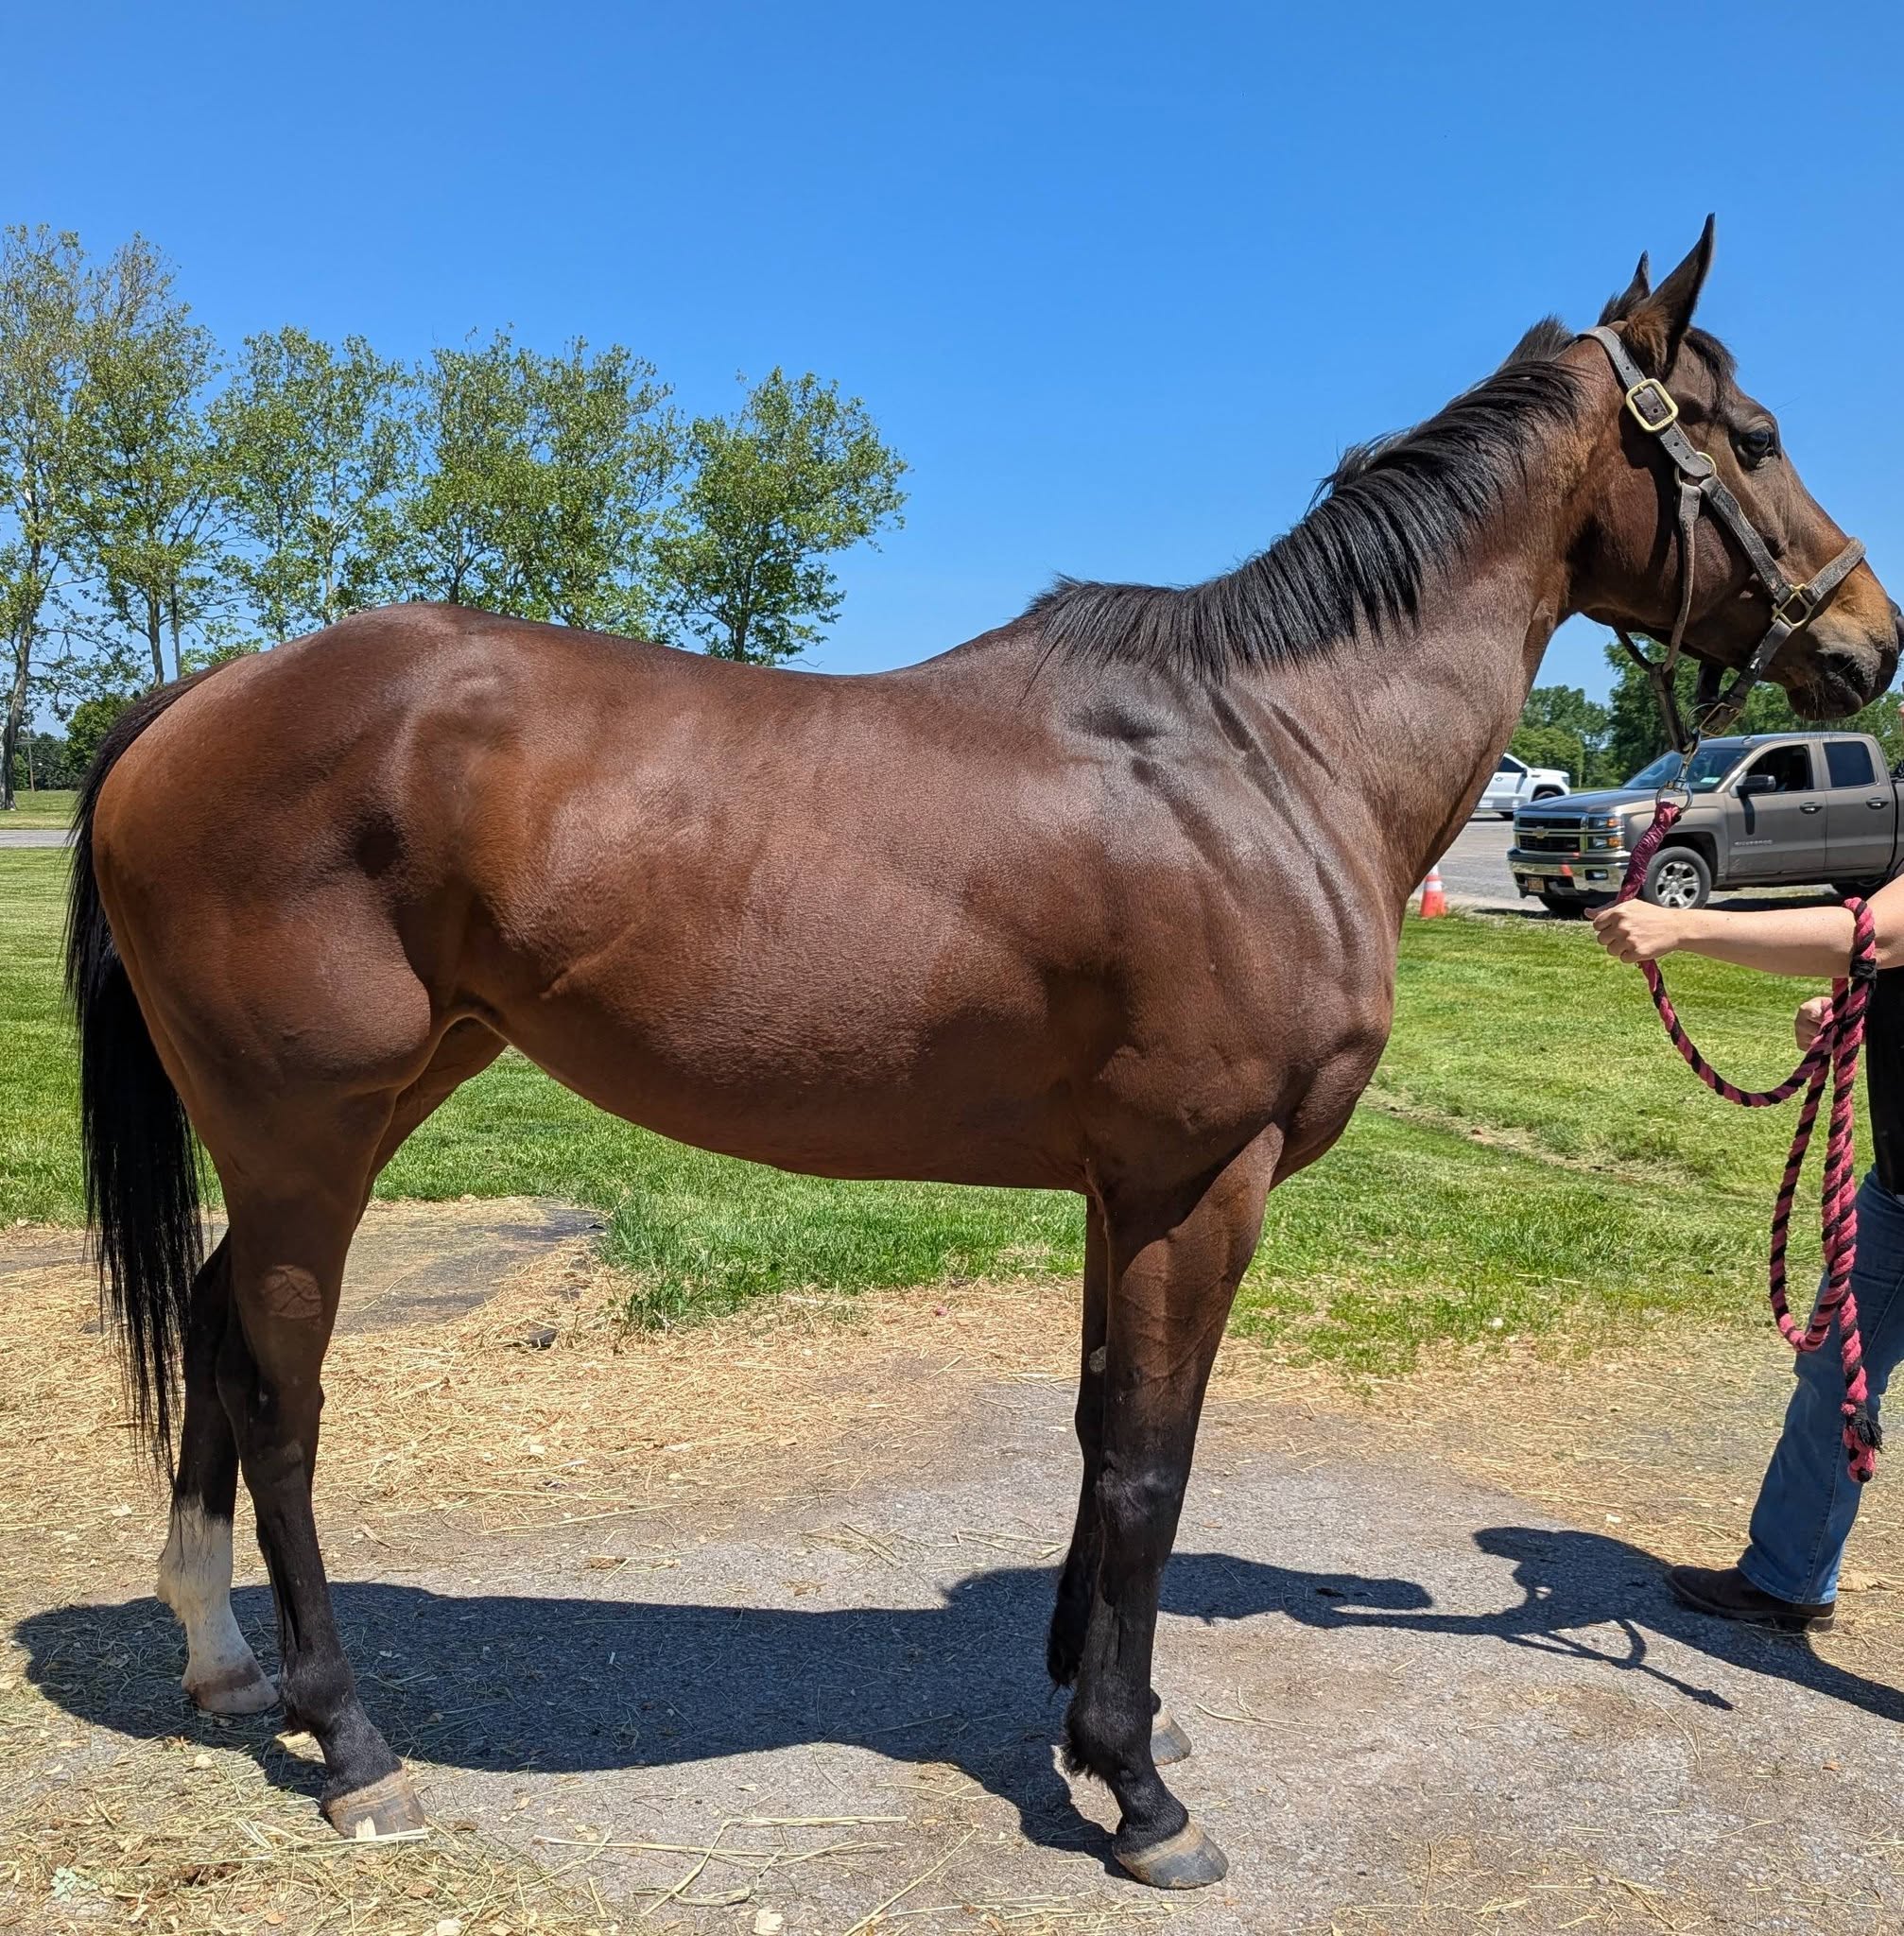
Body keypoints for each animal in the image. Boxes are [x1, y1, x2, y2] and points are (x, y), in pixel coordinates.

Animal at [64, 219, 1900, 1889]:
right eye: (1750, 437)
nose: (1867, 640)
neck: (1267, 749)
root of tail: (195, 703)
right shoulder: (1196, 1181)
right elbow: (1154, 1461)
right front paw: (1134, 1791)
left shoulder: (1119, 1186)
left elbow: (1096, 1431)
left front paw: (1102, 1715)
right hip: (309, 1129)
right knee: (281, 1389)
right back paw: (350, 1741)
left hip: (374, 1102)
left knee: (220, 1325)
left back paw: (223, 1661)